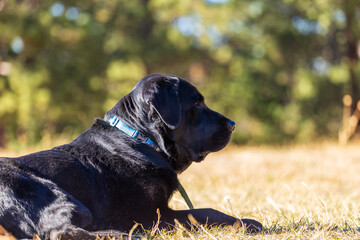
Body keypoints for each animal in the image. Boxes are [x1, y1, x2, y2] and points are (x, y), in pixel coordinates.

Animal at [0, 74, 262, 239]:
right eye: (197, 104)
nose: (233, 124)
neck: (142, 139)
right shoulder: (151, 214)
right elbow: (204, 212)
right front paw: (248, 223)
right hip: (55, 193)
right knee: (59, 232)